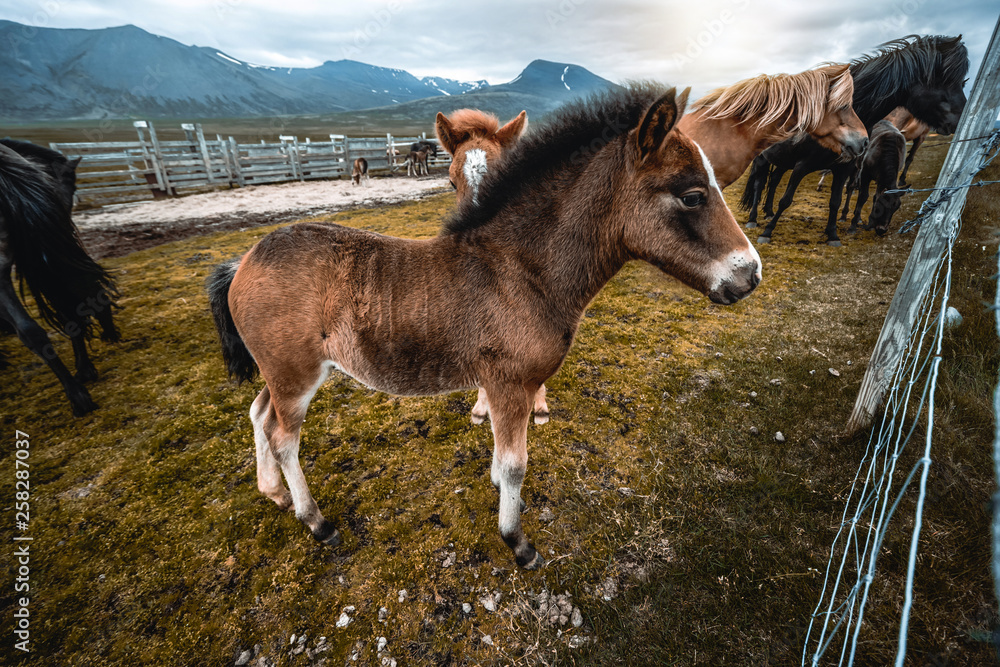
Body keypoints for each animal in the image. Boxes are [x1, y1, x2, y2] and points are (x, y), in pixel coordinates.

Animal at [744, 33, 968, 245]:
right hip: (763, 159)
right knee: (758, 184)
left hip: (782, 161)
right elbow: (786, 200)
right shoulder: (802, 165)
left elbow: (834, 201)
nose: (962, 119)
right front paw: (767, 233)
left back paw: (768, 211)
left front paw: (833, 235)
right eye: (945, 79)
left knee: (773, 181)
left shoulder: (843, 169)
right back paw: (753, 219)